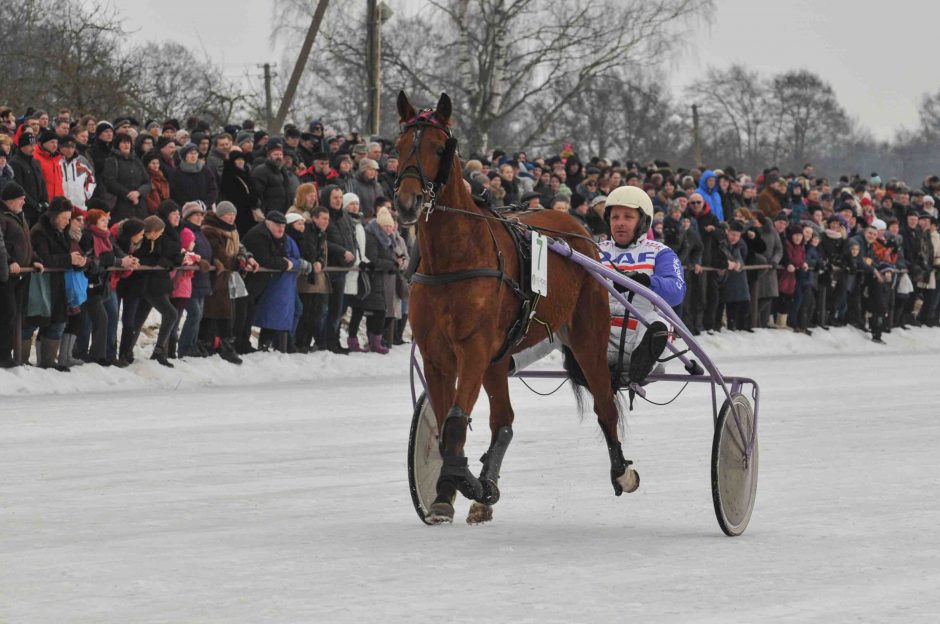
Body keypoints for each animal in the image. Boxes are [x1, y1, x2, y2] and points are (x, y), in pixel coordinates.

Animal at [390, 90, 640, 524]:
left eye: (438, 147)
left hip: (586, 334)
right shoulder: (438, 354)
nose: (406, 202)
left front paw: (463, 482)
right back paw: (485, 488)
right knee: (503, 420)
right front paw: (450, 491)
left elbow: (455, 421)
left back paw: (620, 472)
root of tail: (578, 229)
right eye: (400, 145)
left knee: (605, 405)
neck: (452, 259)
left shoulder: (473, 348)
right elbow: (443, 423)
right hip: (498, 356)